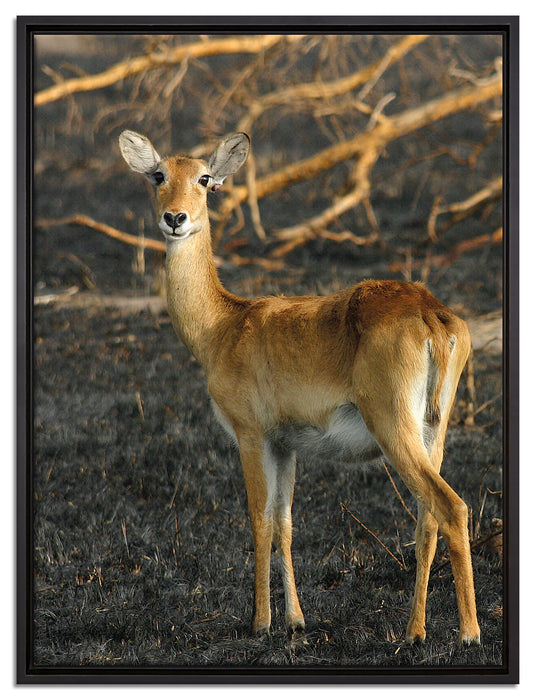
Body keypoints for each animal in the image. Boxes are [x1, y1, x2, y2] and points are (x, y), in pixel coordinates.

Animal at [118, 129, 481, 646]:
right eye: (158, 175)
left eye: (204, 178)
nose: (175, 218)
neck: (223, 326)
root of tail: (432, 313)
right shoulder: (286, 444)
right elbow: (285, 523)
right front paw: (295, 619)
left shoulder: (251, 435)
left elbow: (259, 519)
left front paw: (260, 622)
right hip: (435, 431)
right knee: (426, 519)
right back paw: (414, 631)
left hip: (395, 428)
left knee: (451, 507)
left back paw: (468, 632)